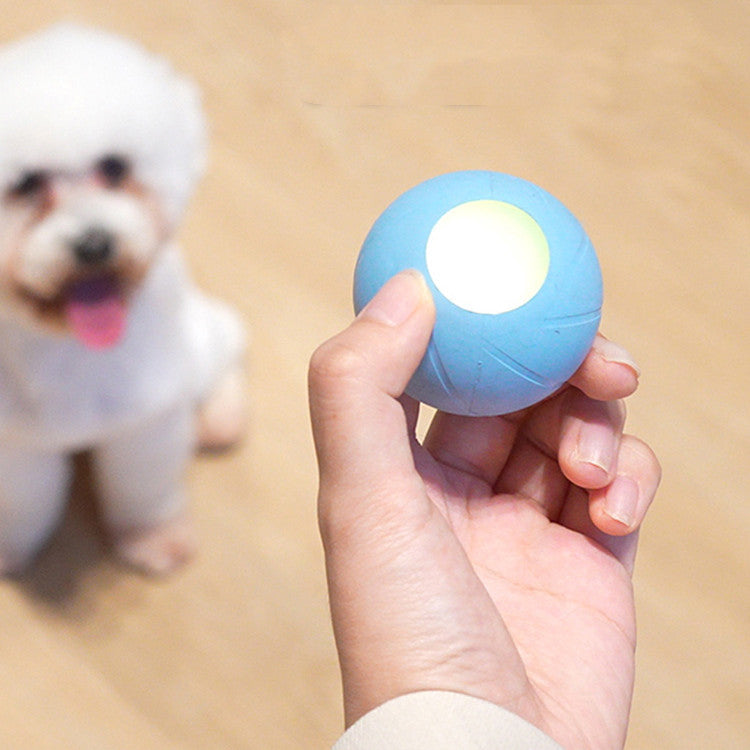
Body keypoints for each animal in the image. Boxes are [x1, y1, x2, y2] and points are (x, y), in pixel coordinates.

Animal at [0, 23, 247, 576]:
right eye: (25, 184)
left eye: (114, 167)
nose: (94, 244)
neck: (71, 349)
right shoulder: (17, 446)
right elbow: (23, 503)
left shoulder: (146, 423)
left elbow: (144, 489)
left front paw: (153, 535)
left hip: (194, 344)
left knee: (223, 349)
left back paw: (218, 416)